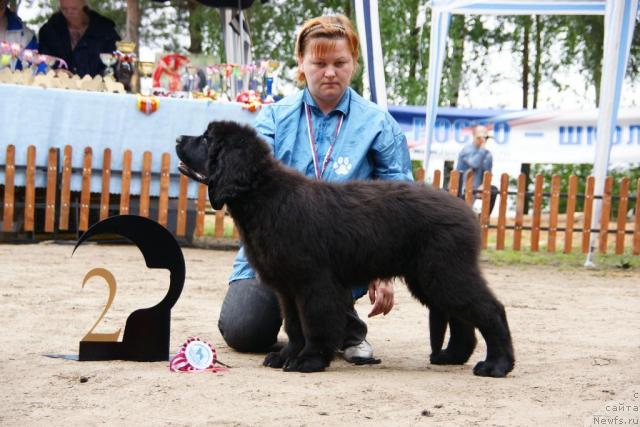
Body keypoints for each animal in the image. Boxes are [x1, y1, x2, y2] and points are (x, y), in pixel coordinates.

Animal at [176, 120, 516, 378]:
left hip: (445, 272)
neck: (265, 197)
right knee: (461, 317)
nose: (179, 137)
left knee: (490, 310)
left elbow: (314, 324)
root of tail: (466, 210)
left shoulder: (314, 283)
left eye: (206, 139)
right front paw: (286, 355)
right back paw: (452, 356)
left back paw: (496, 365)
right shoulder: (288, 287)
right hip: (430, 277)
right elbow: (294, 325)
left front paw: (308, 361)